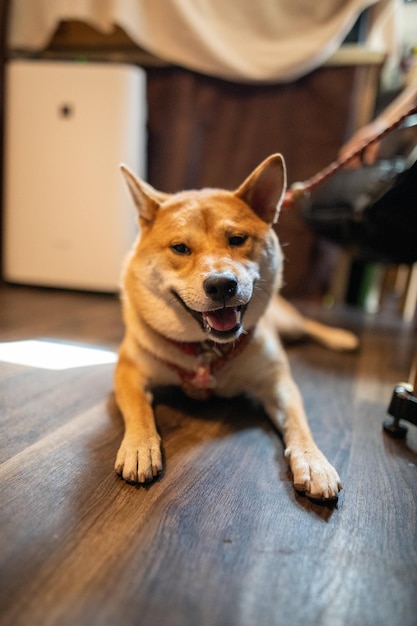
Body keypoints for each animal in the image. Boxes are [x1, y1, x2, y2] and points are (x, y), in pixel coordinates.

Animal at [114, 154, 358, 500]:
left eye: (237, 240)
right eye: (180, 248)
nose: (221, 285)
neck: (206, 349)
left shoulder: (277, 382)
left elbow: (300, 424)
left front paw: (314, 462)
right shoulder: (129, 370)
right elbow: (138, 410)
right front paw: (138, 447)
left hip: (289, 323)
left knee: (308, 324)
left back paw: (340, 337)